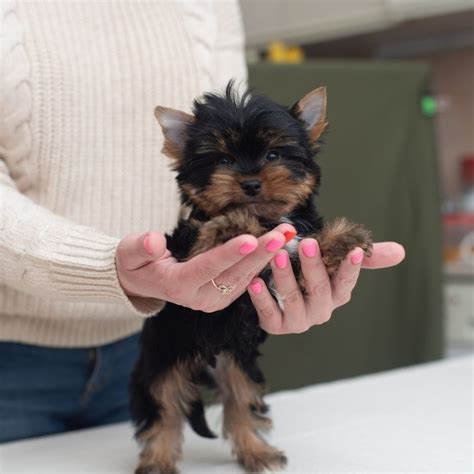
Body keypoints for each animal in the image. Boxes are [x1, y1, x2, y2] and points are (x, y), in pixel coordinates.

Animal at [129, 82, 370, 474]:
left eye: (273, 154)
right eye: (223, 161)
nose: (252, 183)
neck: (266, 221)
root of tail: (206, 358)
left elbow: (305, 253)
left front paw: (340, 240)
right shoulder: (185, 248)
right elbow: (206, 236)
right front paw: (231, 226)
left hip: (238, 362)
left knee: (240, 402)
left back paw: (256, 452)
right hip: (164, 358)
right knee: (164, 407)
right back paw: (158, 460)